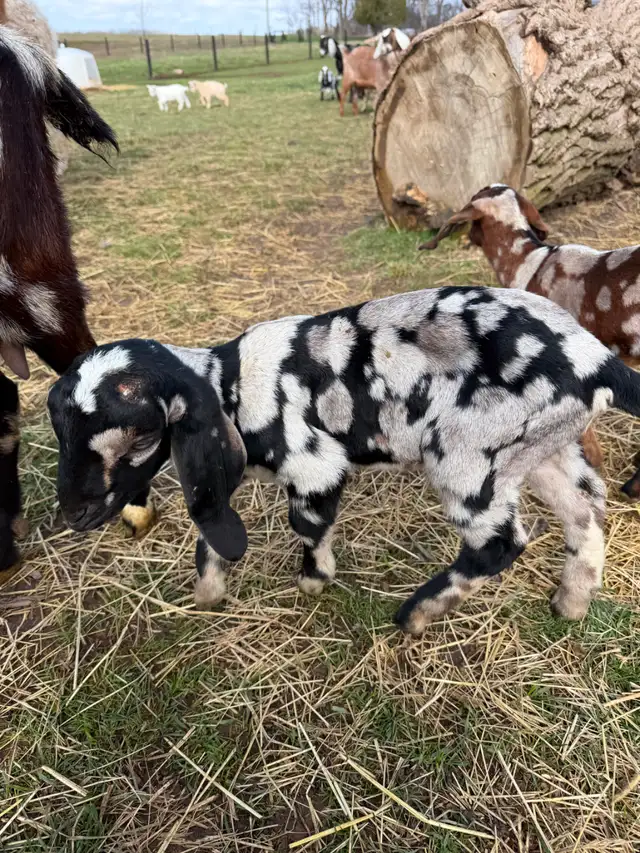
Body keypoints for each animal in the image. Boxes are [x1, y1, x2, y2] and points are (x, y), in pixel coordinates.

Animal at [48, 286, 640, 635]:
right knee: (587, 515)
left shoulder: (314, 465)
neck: (230, 383)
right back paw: (570, 602)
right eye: (62, 433)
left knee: (501, 544)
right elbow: (209, 522)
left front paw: (314, 581)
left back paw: (417, 614)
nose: (73, 514)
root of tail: (597, 362)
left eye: (140, 439)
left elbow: (307, 524)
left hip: (469, 457)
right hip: (544, 447)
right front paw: (209, 592)